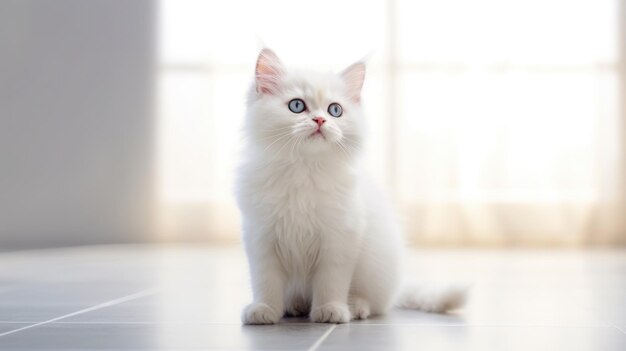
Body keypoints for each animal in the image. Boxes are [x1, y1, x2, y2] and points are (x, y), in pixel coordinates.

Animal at [234, 48, 464, 324]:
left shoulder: (339, 239)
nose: (320, 120)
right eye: (297, 106)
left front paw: (330, 310)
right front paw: (264, 309)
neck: (304, 169)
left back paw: (353, 308)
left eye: (335, 110)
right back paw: (294, 306)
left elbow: (331, 282)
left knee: (373, 303)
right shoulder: (261, 238)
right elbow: (266, 282)